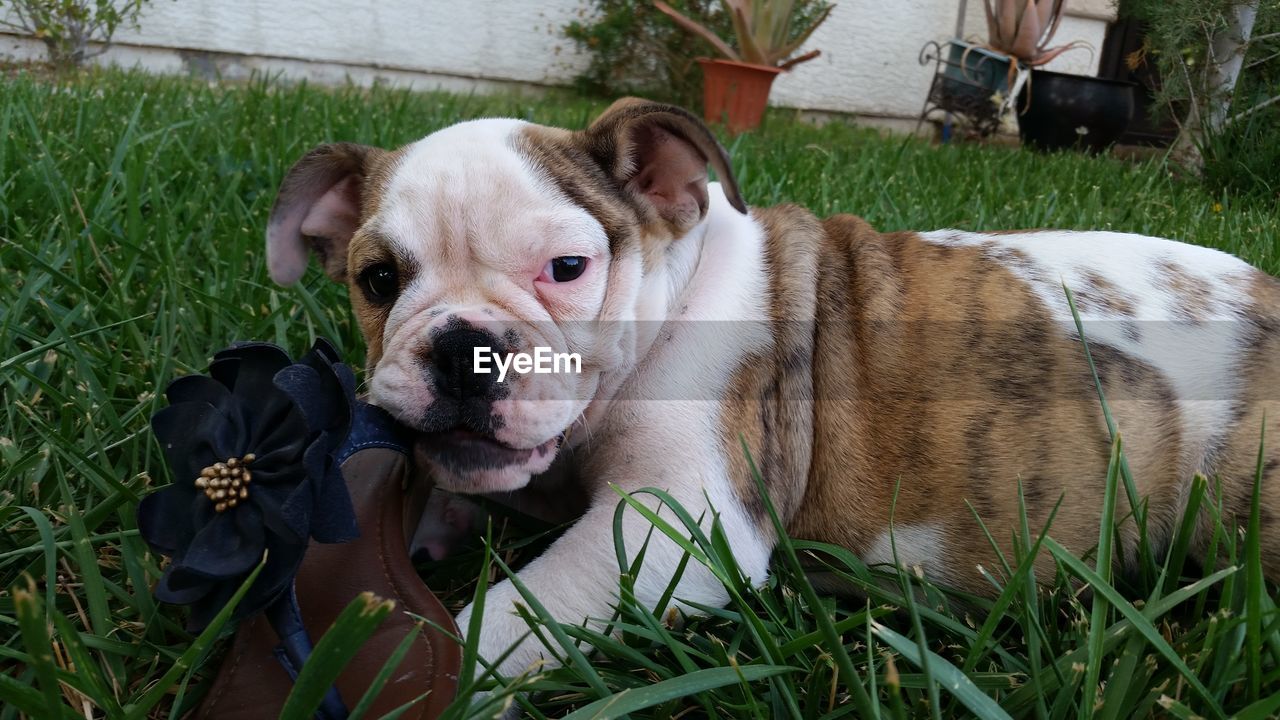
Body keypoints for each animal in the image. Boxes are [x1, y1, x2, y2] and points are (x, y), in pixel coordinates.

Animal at [262, 98, 1280, 676]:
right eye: (377, 280)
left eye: (567, 268)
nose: (462, 346)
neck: (672, 295)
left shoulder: (670, 526)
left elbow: (507, 619)